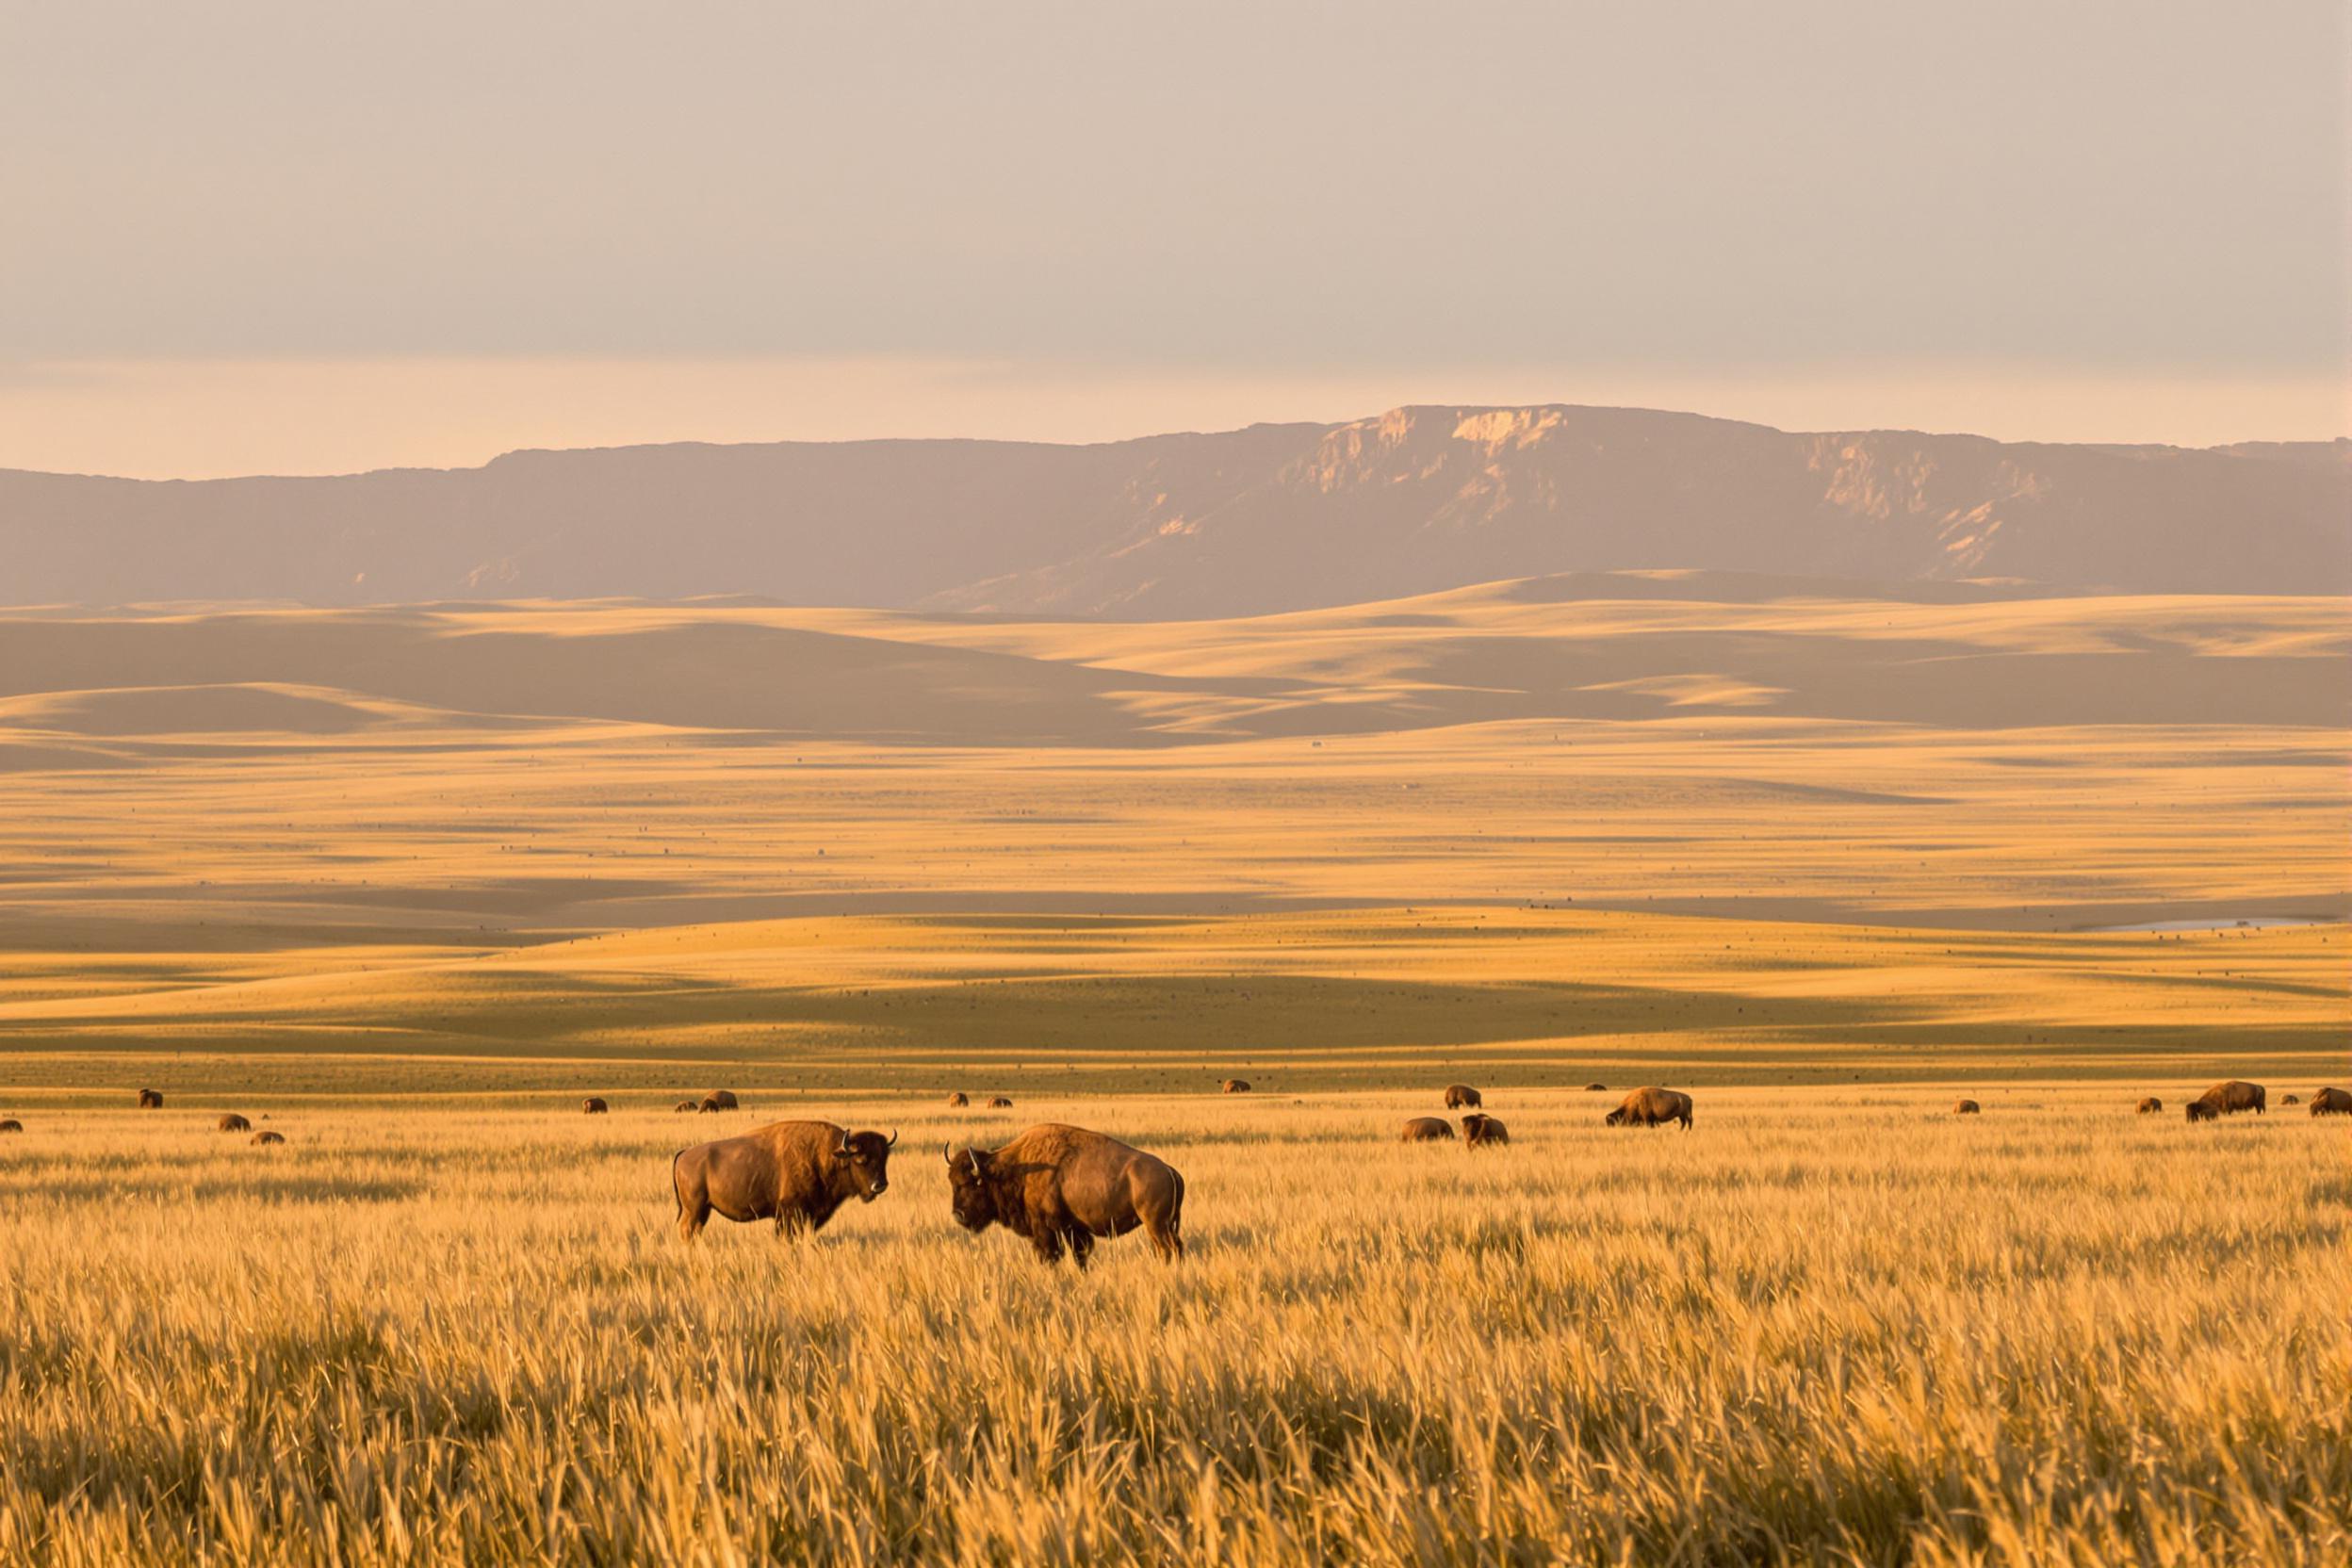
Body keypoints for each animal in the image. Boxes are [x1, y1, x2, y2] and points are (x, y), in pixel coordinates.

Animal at [681, 1123, 907, 1241]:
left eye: (885, 1158)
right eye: (861, 1159)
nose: (880, 1185)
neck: (824, 1155)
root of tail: (684, 1154)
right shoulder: (790, 1213)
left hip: (704, 1210)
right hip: (694, 1210)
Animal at [940, 1123, 1184, 1269]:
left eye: (973, 1183)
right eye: (952, 1183)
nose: (958, 1215)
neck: (1016, 1168)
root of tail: (1169, 1170)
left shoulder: (1047, 1229)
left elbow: (1050, 1254)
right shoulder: (1073, 1229)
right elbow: (1080, 1255)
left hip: (1156, 1224)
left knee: (1168, 1248)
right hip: (1163, 1225)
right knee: (1174, 1247)